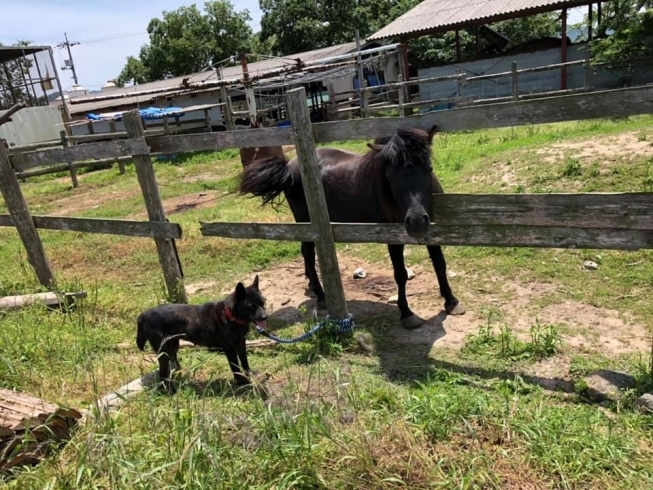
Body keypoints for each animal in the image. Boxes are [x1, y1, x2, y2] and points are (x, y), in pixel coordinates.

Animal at [135, 276, 268, 394]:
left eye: (263, 302)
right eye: (251, 305)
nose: (265, 317)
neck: (230, 315)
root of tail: (144, 315)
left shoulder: (241, 345)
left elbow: (245, 363)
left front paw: (249, 376)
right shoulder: (230, 349)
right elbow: (235, 367)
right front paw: (242, 381)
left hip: (172, 346)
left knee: (171, 366)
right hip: (163, 351)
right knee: (163, 374)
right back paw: (170, 392)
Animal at [238, 125, 464, 330]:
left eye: (429, 169)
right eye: (390, 177)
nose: (416, 221)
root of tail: (291, 166)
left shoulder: (432, 231)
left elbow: (439, 264)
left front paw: (451, 301)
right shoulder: (392, 238)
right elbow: (400, 274)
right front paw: (407, 313)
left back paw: (312, 285)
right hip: (304, 221)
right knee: (308, 253)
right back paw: (321, 296)